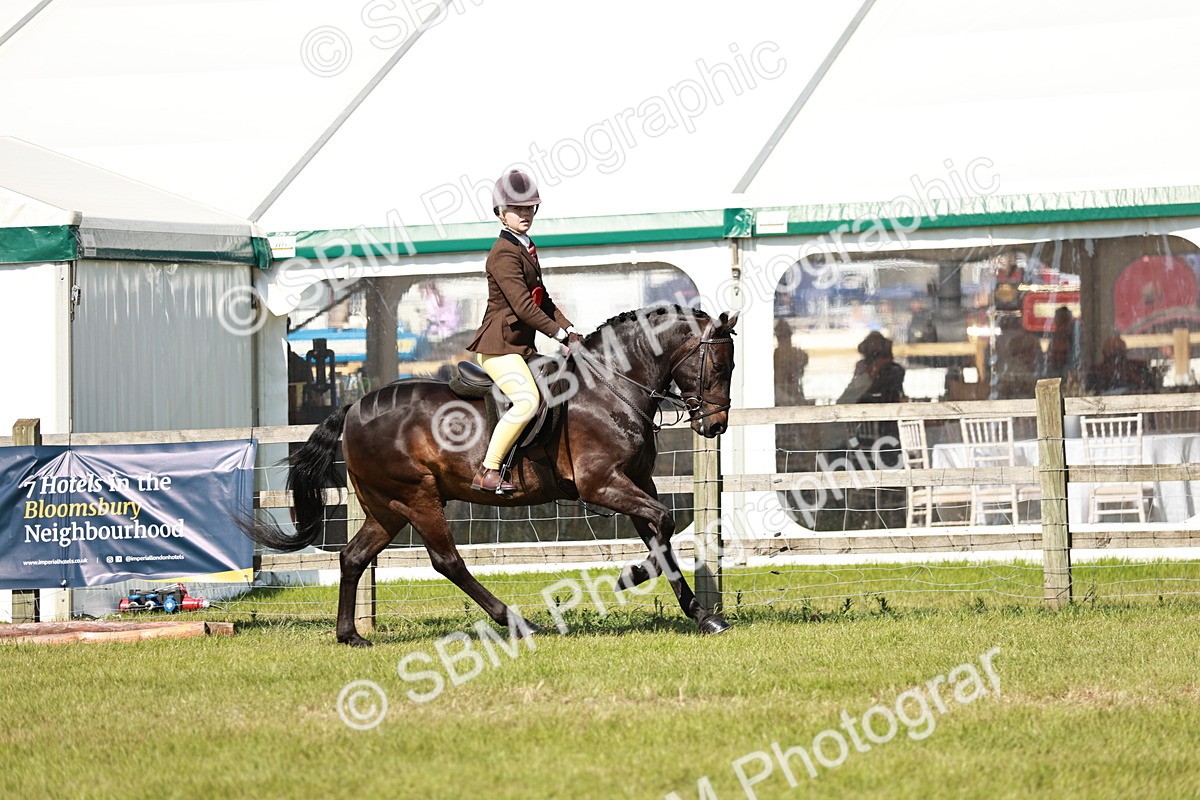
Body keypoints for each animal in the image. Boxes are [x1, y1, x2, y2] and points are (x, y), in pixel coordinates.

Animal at [244, 305, 738, 646]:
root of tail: (354, 407)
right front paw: (628, 577)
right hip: (418, 498)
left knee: (353, 557)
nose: (715, 426)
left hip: (387, 507)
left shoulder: (636, 482)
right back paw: (519, 623)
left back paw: (350, 635)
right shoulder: (602, 484)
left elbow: (662, 538)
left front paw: (703, 616)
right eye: (720, 366)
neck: (610, 387)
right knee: (447, 562)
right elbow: (664, 526)